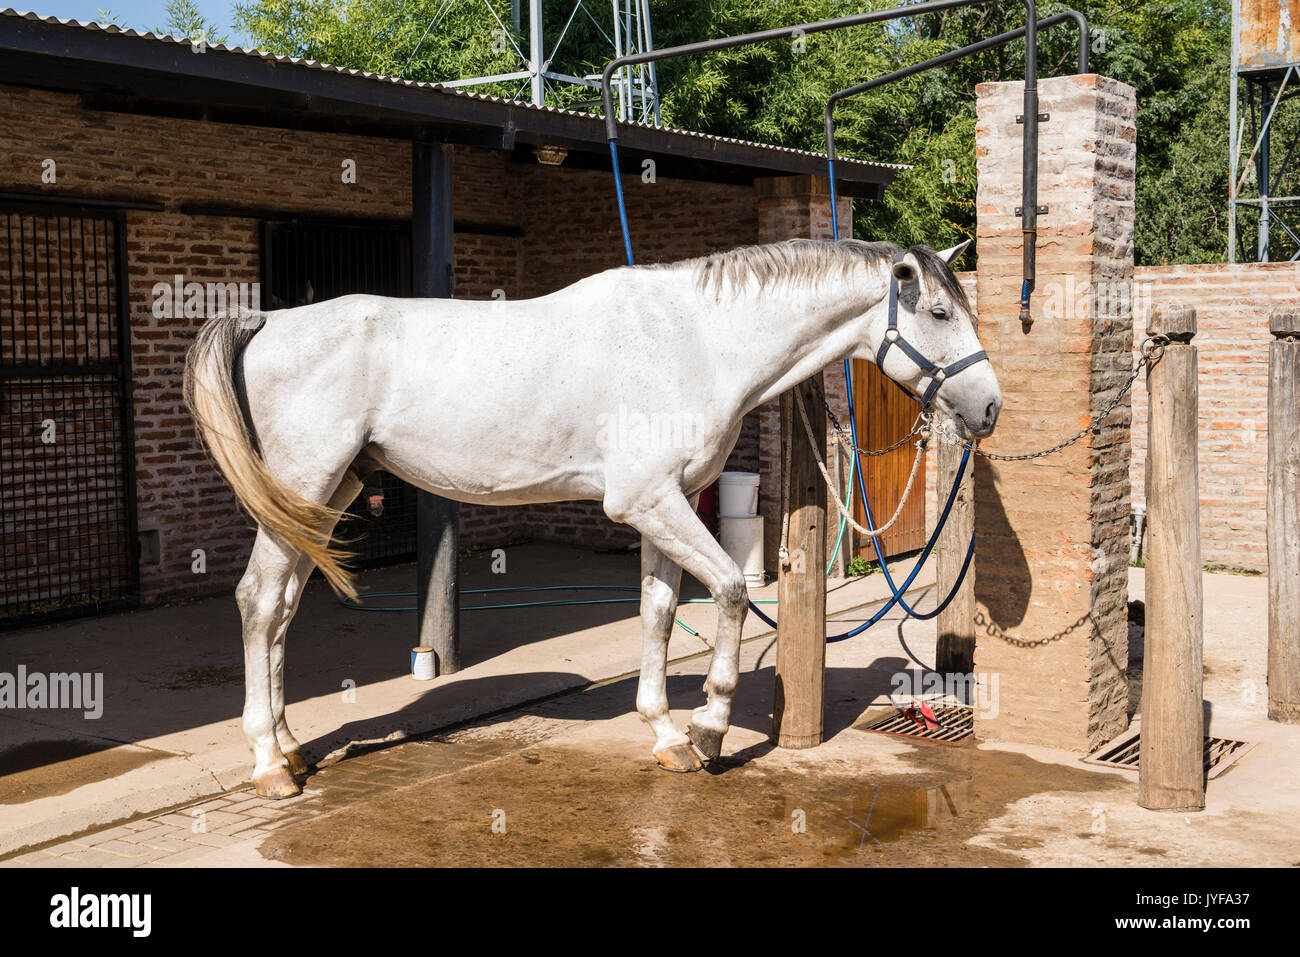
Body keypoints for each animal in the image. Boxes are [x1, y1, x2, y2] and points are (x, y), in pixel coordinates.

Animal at [183, 235, 998, 795]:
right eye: (937, 311)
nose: (988, 407)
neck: (696, 340)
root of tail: (265, 322)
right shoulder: (649, 501)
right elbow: (731, 591)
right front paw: (708, 731)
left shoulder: (663, 508)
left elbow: (660, 614)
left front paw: (666, 735)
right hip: (306, 485)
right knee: (260, 602)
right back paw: (269, 764)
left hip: (323, 498)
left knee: (282, 610)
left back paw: (291, 746)